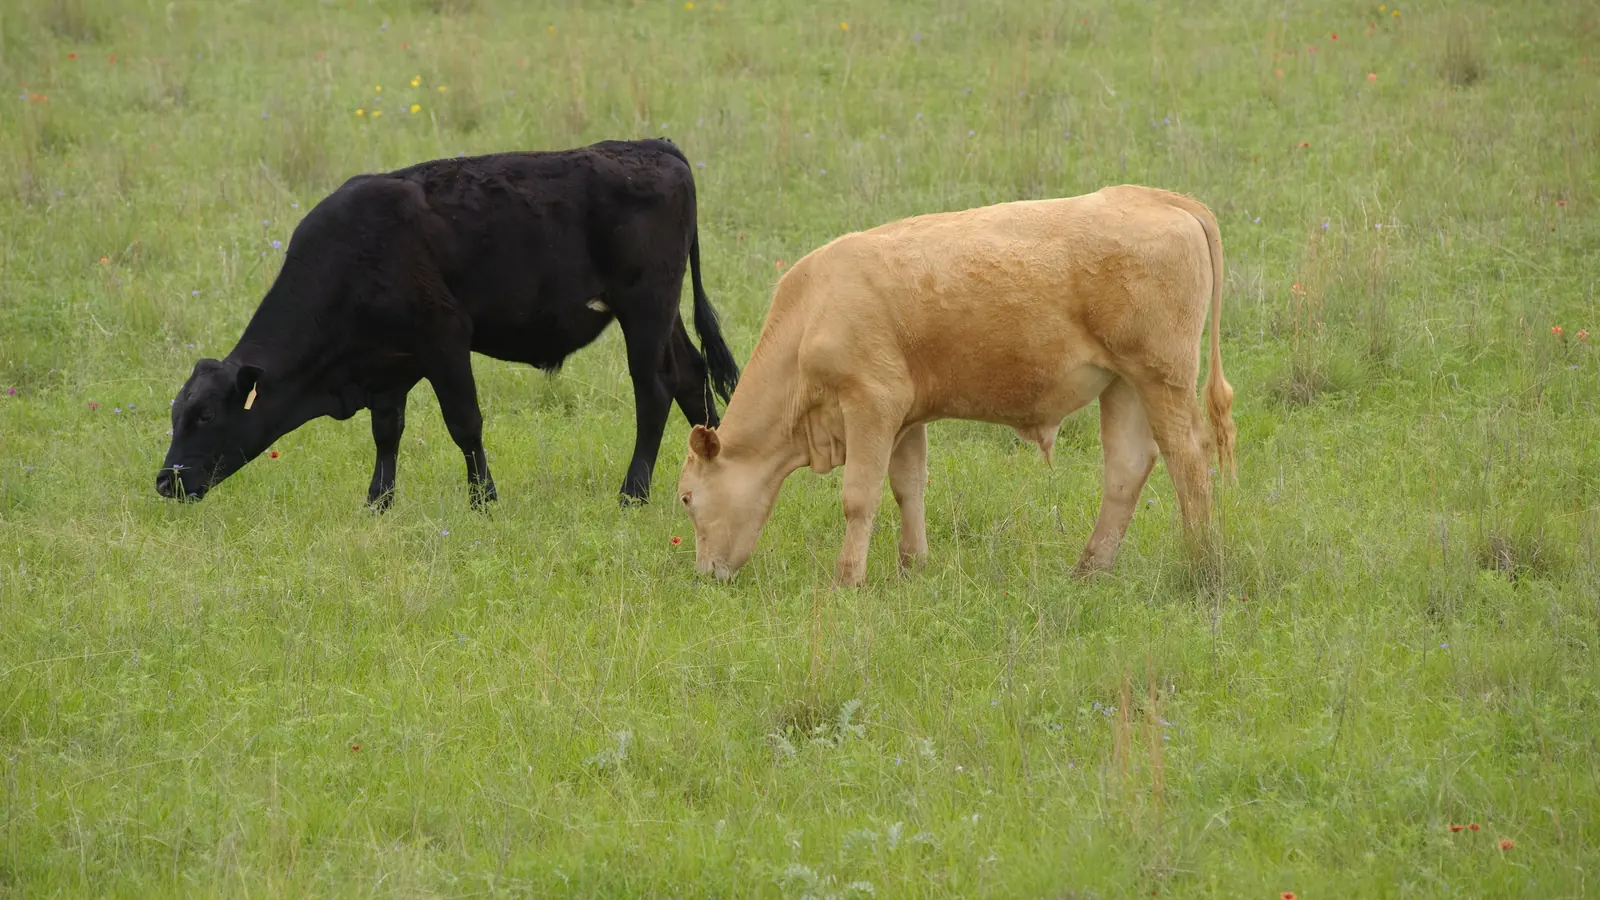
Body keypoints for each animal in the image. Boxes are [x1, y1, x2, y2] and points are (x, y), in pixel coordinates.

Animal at [156, 138, 740, 509]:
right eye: (175, 412)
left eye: (205, 415)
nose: (166, 481)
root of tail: (653, 145)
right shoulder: (388, 366)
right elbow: (386, 432)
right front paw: (378, 502)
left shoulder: (444, 339)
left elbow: (465, 423)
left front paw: (484, 500)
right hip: (661, 314)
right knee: (691, 377)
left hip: (644, 307)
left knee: (654, 390)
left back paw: (632, 493)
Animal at [675, 185, 1236, 587]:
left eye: (685, 498)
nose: (705, 576)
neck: (811, 314)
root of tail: (1158, 197)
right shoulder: (904, 416)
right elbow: (907, 487)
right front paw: (912, 566)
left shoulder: (870, 404)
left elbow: (859, 496)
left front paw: (847, 580)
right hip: (1123, 383)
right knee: (1127, 467)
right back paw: (1090, 568)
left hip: (1162, 377)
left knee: (1189, 460)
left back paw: (1201, 560)